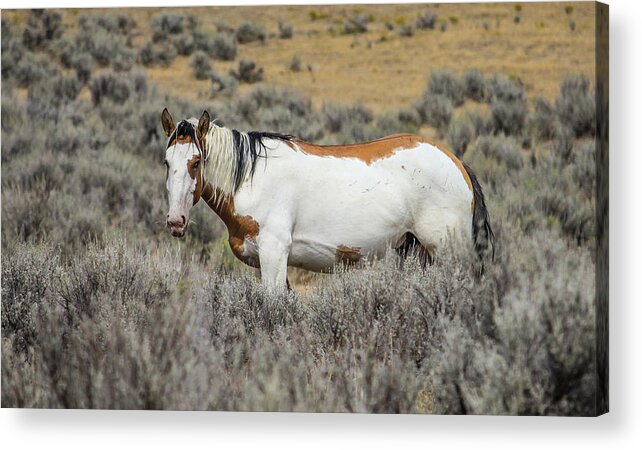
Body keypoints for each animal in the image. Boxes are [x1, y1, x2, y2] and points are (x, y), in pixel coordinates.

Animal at [159, 110, 490, 290]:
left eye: (196, 162)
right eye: (166, 161)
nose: (175, 221)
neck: (252, 177)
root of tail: (457, 163)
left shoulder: (274, 254)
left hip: (449, 253)